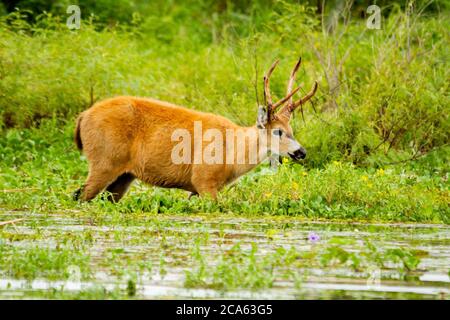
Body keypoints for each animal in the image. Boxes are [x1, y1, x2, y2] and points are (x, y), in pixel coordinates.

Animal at [74, 57, 318, 202]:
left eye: (291, 128)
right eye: (278, 131)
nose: (302, 152)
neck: (233, 152)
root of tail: (83, 116)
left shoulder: (196, 189)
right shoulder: (204, 179)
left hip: (124, 176)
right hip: (104, 161)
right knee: (79, 195)